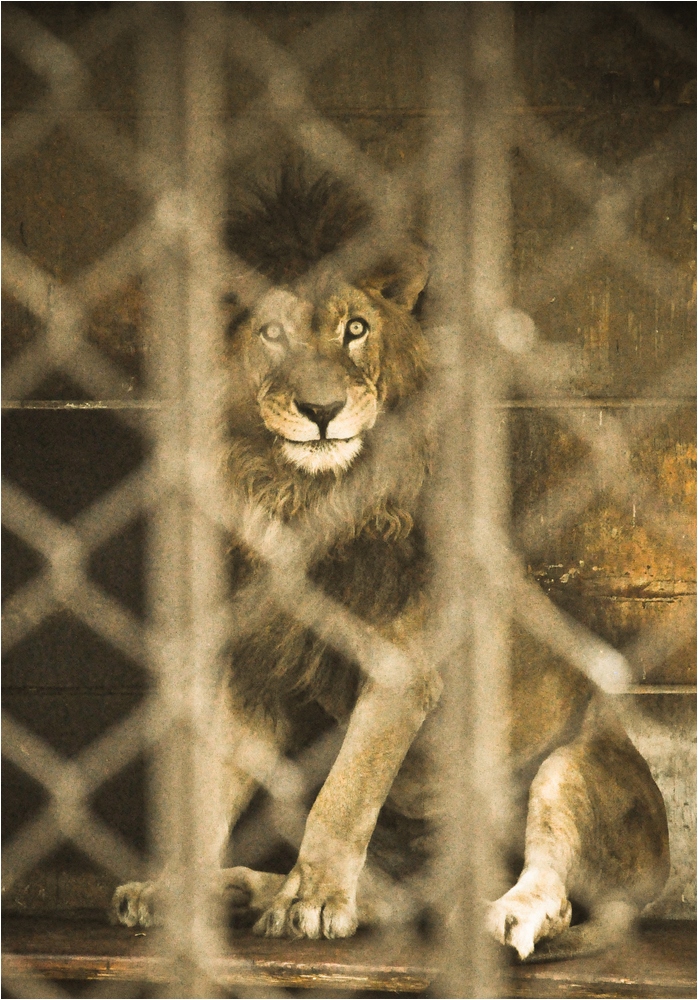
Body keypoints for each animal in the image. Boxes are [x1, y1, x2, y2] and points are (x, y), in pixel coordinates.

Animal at [111, 164, 668, 960]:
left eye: (355, 329)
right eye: (271, 332)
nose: (321, 411)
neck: (305, 502)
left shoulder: (401, 668)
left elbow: (342, 795)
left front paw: (313, 903)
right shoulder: (254, 670)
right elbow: (210, 789)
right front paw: (176, 889)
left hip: (572, 767)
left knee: (554, 889)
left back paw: (504, 916)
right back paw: (245, 889)